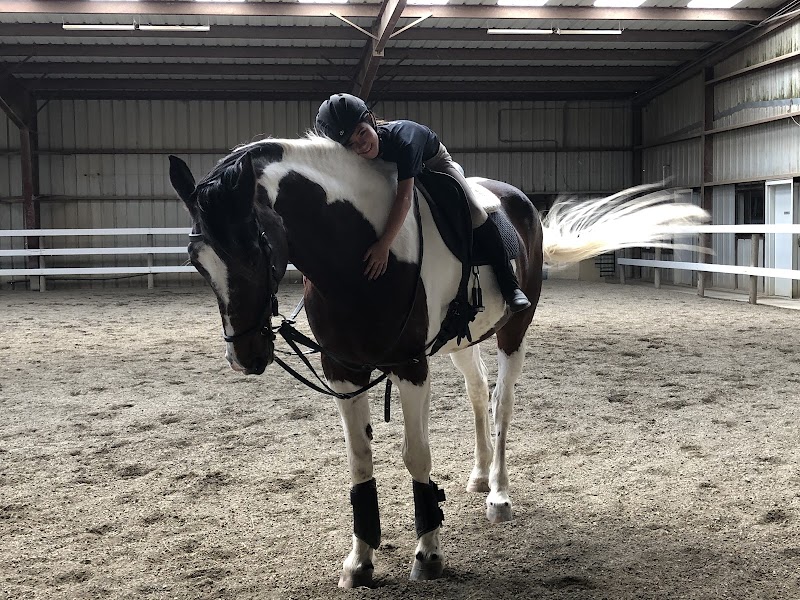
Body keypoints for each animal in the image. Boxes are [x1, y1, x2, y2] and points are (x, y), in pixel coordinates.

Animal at [168, 135, 707, 588]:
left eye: (255, 246)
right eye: (197, 259)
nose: (245, 356)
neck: (360, 256)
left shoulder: (410, 366)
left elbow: (417, 456)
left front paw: (427, 554)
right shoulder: (344, 372)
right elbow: (359, 461)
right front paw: (360, 560)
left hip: (513, 333)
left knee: (502, 405)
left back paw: (497, 493)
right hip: (462, 343)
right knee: (479, 394)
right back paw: (479, 474)